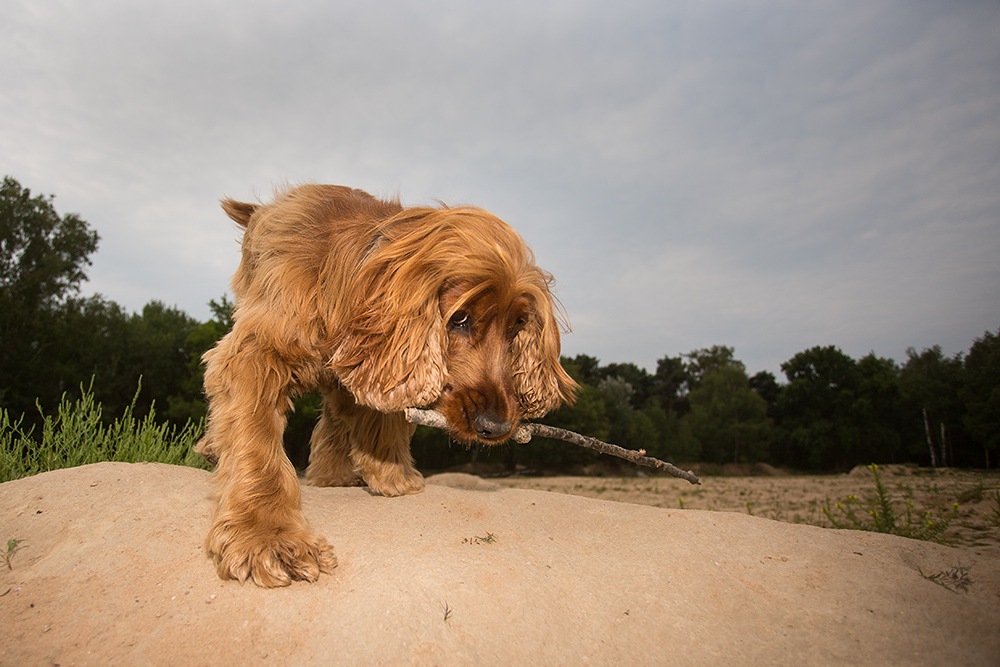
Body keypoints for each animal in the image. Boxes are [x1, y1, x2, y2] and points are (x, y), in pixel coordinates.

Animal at [194, 185, 580, 588]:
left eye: (518, 325)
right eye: (459, 318)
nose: (497, 427)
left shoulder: (368, 364)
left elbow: (376, 415)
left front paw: (392, 474)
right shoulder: (258, 352)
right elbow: (255, 435)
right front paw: (268, 537)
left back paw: (332, 475)